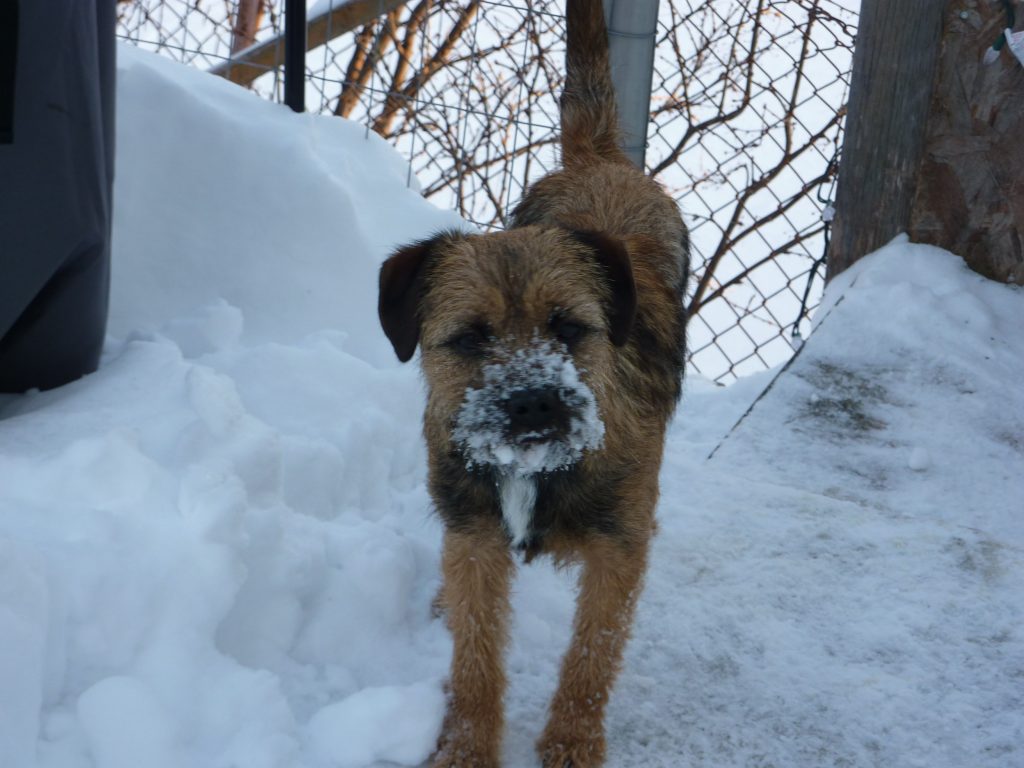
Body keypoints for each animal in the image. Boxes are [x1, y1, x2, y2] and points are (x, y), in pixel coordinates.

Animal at [376, 0, 688, 765]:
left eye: (568, 327)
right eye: (470, 337)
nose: (534, 402)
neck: (537, 467)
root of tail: (603, 161)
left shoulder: (618, 550)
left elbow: (591, 655)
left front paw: (572, 740)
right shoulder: (476, 536)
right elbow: (476, 655)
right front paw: (465, 746)